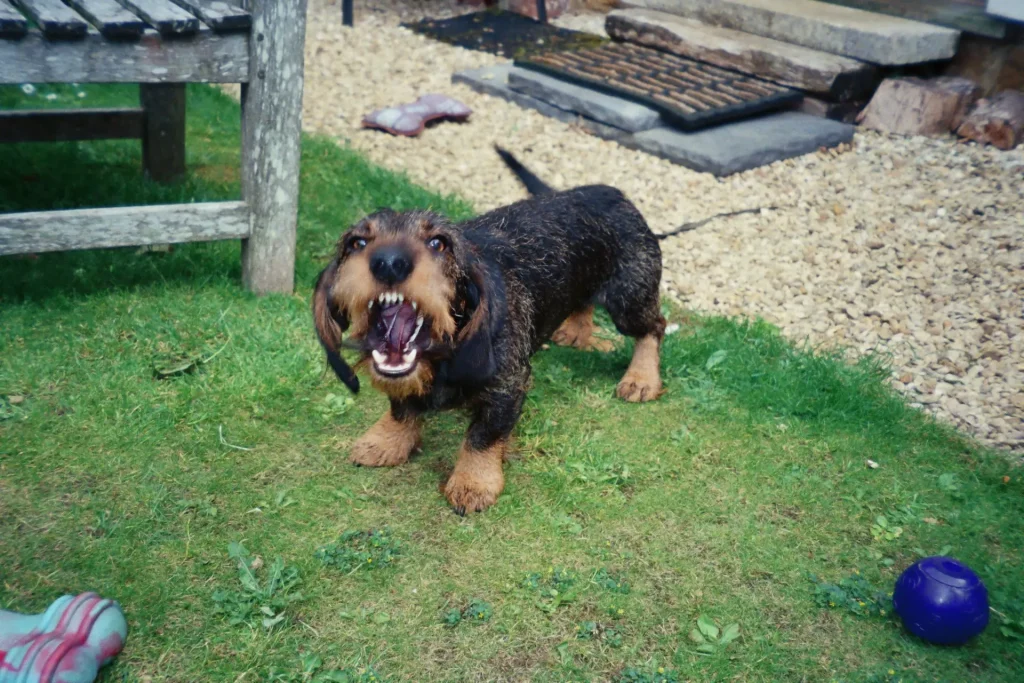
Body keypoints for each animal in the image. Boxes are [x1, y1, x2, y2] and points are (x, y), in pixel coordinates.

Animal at [313, 147, 663, 516]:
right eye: (356, 242)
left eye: (438, 243)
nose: (388, 262)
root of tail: (607, 191)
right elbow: (402, 407)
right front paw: (387, 440)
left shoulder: (509, 385)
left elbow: (483, 435)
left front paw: (473, 482)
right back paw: (577, 331)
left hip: (629, 299)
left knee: (654, 327)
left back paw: (641, 378)